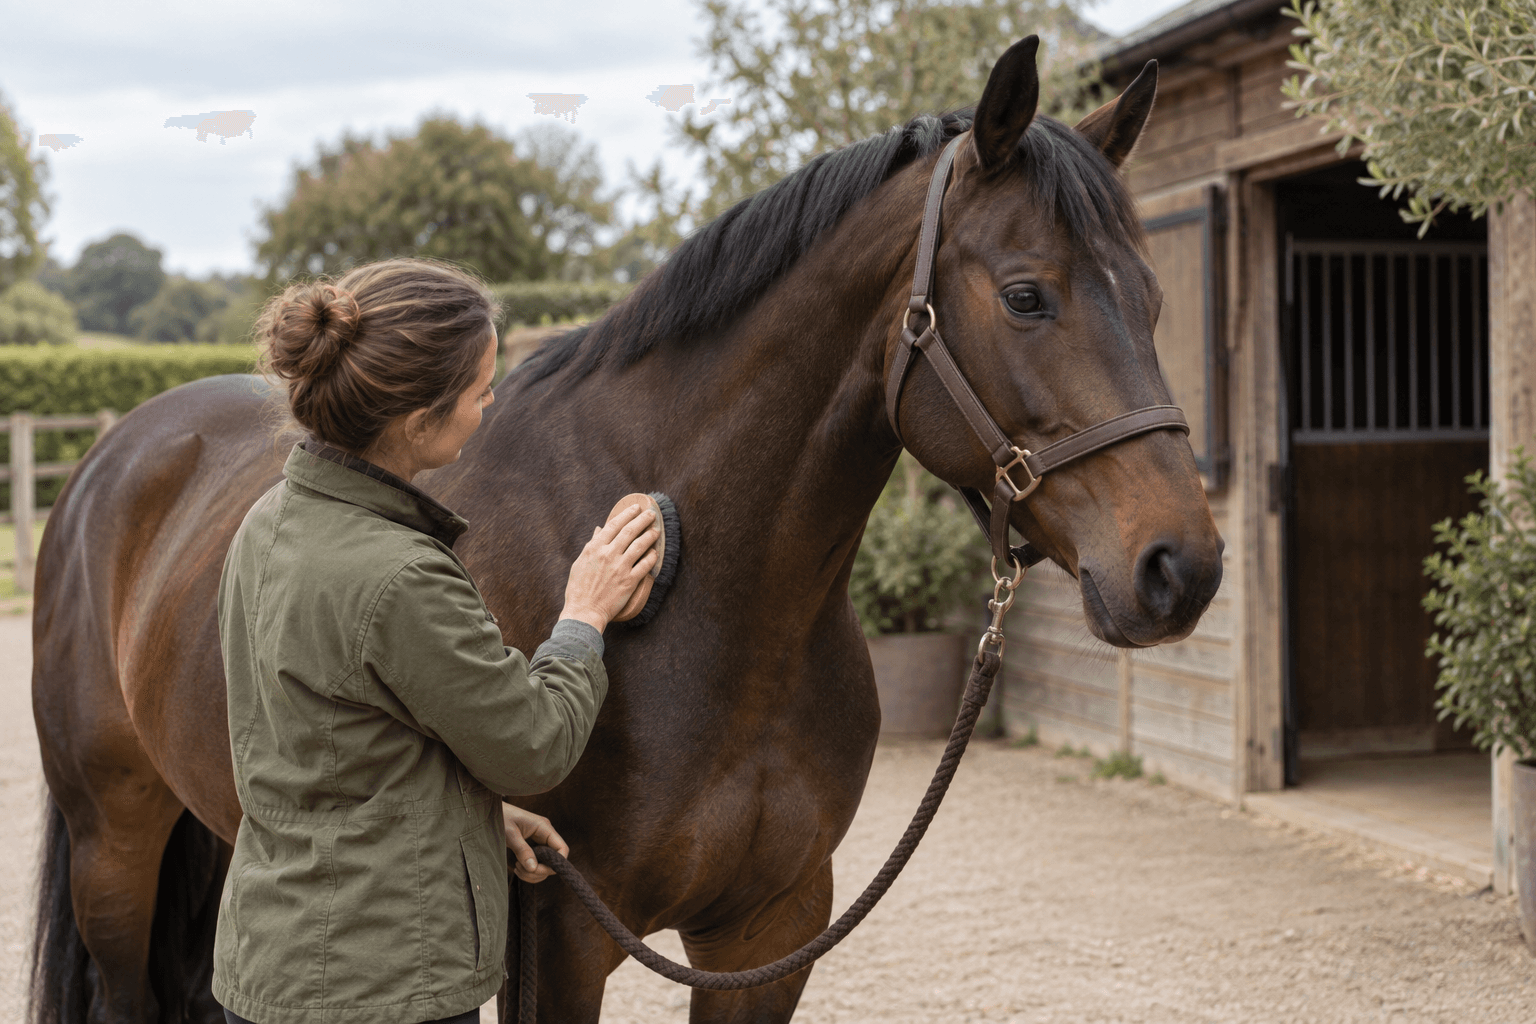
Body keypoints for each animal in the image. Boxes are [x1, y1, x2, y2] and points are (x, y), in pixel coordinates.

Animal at [30, 36, 1222, 1024]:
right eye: (1026, 296)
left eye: (1154, 297)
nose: (1182, 568)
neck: (718, 603)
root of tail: (110, 452)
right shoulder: (562, 938)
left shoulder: (771, 933)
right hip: (114, 846)